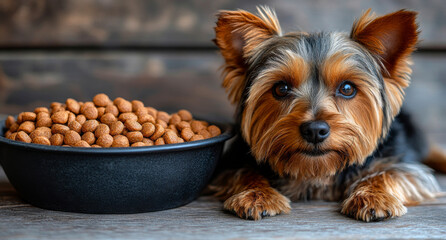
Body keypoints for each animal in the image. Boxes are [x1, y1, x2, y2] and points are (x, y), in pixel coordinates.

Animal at [211, 6, 446, 222]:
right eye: (281, 88)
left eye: (347, 88)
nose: (315, 130)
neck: (318, 171)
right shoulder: (229, 164)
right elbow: (244, 171)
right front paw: (256, 195)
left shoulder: (405, 165)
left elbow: (390, 173)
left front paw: (374, 197)